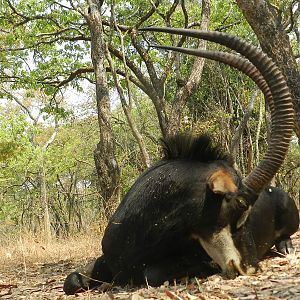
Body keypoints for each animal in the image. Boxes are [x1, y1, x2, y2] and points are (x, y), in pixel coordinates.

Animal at [63, 28, 296, 296]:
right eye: (237, 207)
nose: (251, 267)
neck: (140, 233)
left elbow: (151, 273)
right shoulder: (104, 261)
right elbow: (71, 281)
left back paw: (286, 246)